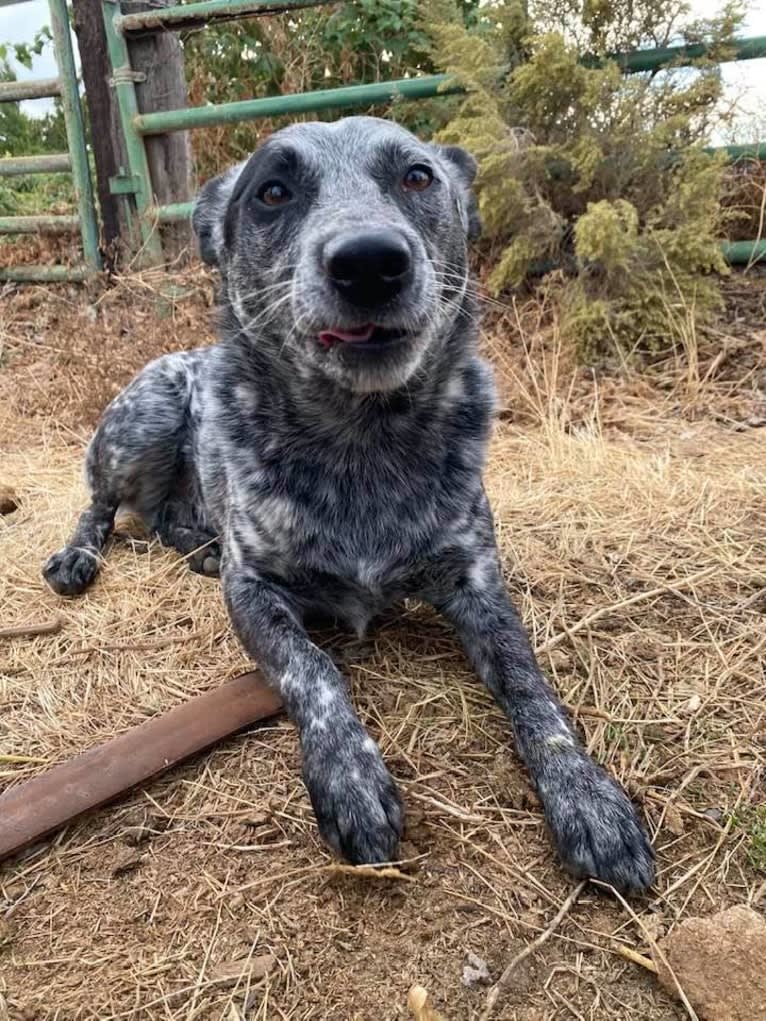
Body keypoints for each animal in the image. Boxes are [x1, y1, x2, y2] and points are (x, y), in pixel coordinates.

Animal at [41, 113, 653, 894]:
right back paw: (80, 555)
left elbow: (531, 685)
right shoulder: (255, 593)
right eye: (272, 192)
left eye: (418, 176)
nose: (369, 261)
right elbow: (313, 670)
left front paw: (588, 797)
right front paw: (351, 779)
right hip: (145, 416)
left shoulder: (478, 585)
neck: (361, 442)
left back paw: (199, 547)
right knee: (101, 502)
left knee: (169, 518)